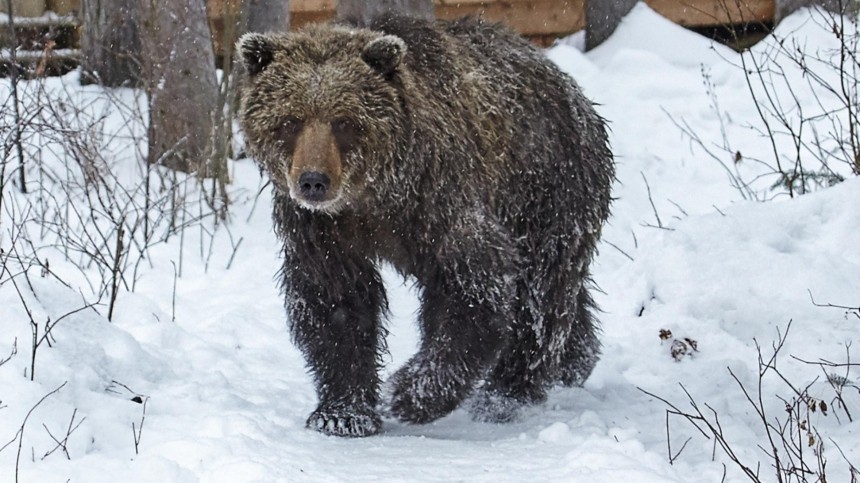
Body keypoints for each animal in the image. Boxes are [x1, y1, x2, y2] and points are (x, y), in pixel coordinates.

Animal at [235, 14, 612, 438]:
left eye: (344, 121)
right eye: (290, 120)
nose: (313, 181)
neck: (373, 196)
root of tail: (574, 92)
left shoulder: (439, 202)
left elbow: (474, 290)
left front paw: (409, 393)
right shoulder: (323, 229)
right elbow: (336, 300)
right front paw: (342, 413)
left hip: (546, 191)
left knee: (541, 293)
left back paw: (505, 395)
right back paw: (577, 360)